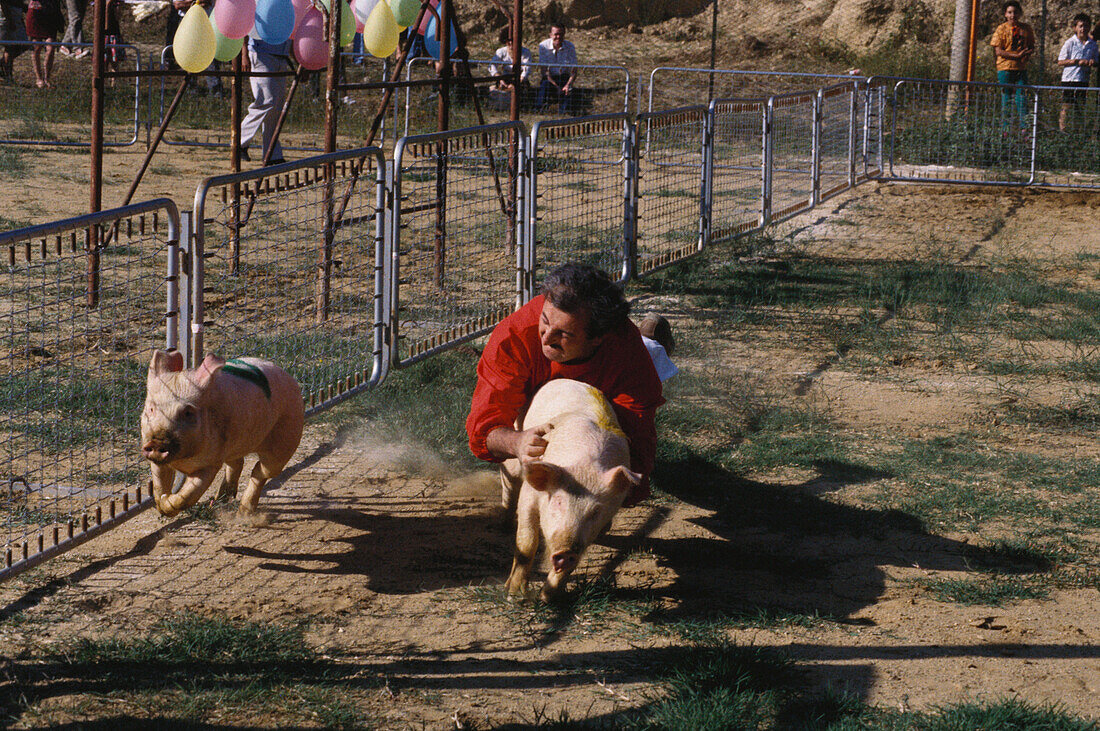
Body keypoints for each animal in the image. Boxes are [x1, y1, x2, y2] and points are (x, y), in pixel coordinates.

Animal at [141, 349, 308, 516]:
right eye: (151, 409)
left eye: (188, 412)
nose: (156, 442)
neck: (182, 460)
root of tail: (290, 378)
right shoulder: (156, 459)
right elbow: (158, 485)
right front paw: (162, 503)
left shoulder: (211, 462)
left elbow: (188, 495)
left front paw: (168, 503)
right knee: (238, 463)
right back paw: (219, 500)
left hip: (287, 437)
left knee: (260, 472)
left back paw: (243, 513)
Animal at [501, 378, 642, 602]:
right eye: (558, 501)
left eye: (596, 511)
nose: (566, 551)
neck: (586, 468)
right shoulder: (529, 495)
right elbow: (527, 542)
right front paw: (514, 596)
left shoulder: (591, 531)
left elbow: (572, 565)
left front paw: (547, 599)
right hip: (514, 456)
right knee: (509, 486)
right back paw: (503, 525)